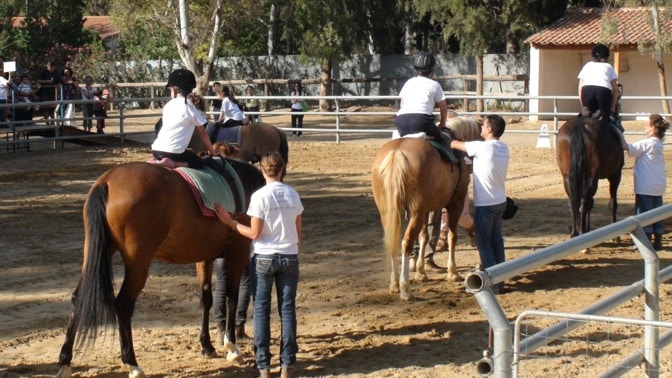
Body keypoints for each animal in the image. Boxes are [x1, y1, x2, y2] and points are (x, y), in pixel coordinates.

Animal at [55, 159, 266, 378]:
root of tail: (108, 181)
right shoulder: (237, 252)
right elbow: (231, 298)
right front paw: (232, 348)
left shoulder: (204, 258)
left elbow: (206, 299)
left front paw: (207, 346)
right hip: (138, 263)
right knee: (123, 304)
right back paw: (132, 364)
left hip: (95, 251)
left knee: (78, 298)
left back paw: (65, 362)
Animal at [372, 128, 472, 300]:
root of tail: (397, 152)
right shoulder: (456, 204)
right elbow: (452, 236)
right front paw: (453, 272)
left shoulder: (425, 210)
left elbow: (424, 237)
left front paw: (421, 272)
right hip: (416, 213)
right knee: (406, 242)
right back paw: (405, 289)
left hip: (389, 213)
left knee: (393, 241)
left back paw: (395, 284)